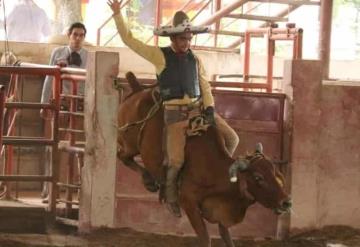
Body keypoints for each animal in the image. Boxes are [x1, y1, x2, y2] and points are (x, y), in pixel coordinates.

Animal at [116, 72, 292, 247]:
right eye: (258, 178)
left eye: (277, 175)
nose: (286, 202)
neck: (213, 170)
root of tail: (139, 90)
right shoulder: (190, 204)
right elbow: (205, 238)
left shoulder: (223, 210)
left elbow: (226, 236)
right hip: (129, 142)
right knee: (122, 155)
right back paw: (148, 181)